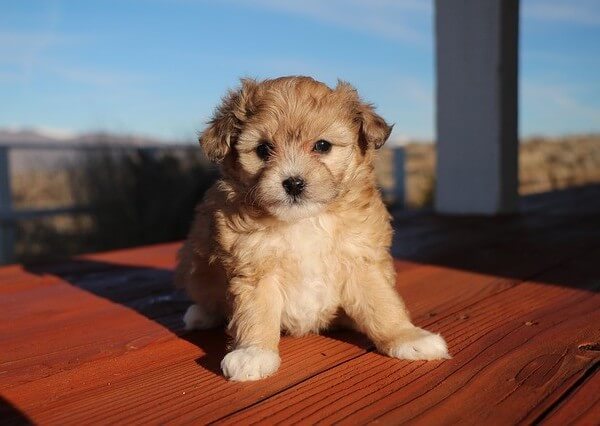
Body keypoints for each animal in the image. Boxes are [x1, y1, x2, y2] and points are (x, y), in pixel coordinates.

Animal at [176, 75, 448, 382]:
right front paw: (253, 352)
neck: (305, 220)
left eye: (322, 146)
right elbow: (255, 311)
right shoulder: (254, 266)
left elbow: (382, 302)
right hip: (194, 261)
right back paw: (201, 314)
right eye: (263, 149)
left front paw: (407, 337)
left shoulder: (360, 259)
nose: (293, 183)